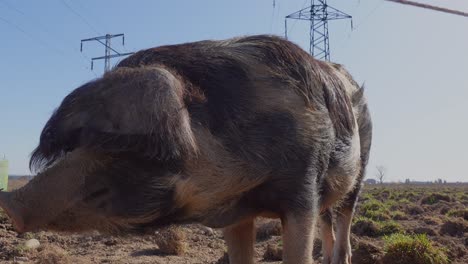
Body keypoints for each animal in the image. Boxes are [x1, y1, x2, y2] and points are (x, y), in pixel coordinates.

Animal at [0, 35, 372, 264]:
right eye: (80, 140)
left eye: (130, 147)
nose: (10, 202)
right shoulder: (238, 212)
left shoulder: (302, 186)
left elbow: (297, 248)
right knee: (328, 217)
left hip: (358, 171)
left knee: (344, 217)